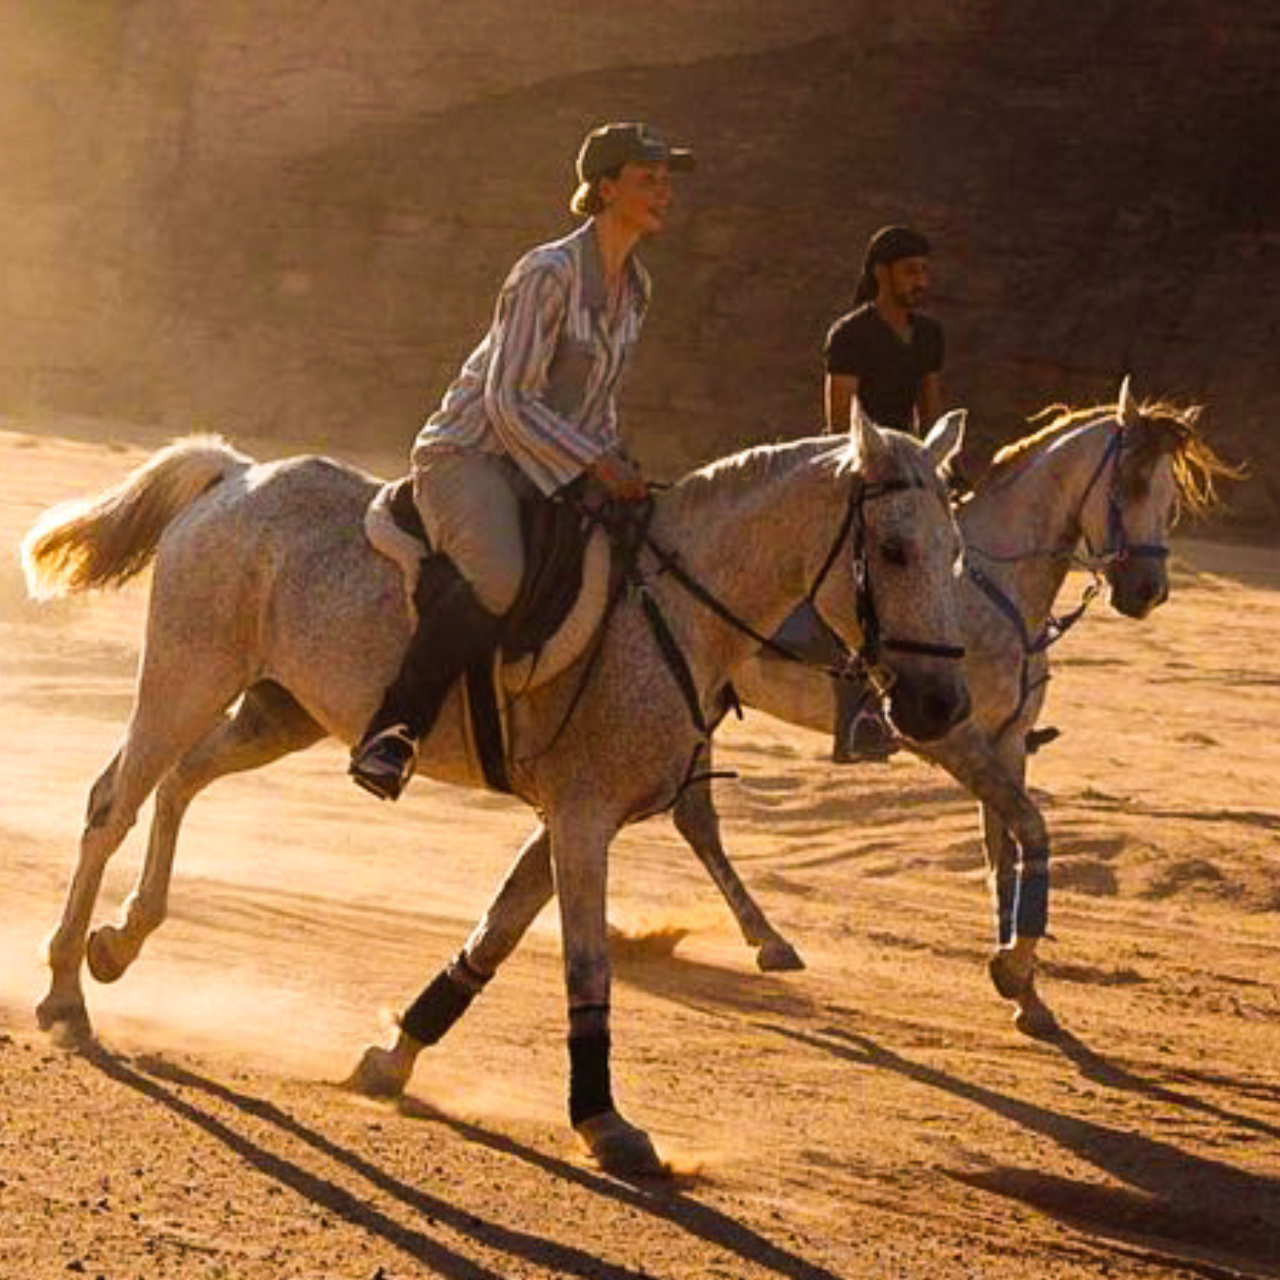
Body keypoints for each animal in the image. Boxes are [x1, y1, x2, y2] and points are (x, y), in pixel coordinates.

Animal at [23, 407, 971, 1175]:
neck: (674, 608)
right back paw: (66, 987)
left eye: (955, 550)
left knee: (180, 782)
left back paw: (121, 942)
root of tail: (234, 475)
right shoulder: (585, 820)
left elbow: (494, 936)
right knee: (113, 803)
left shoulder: (569, 818)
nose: (941, 705)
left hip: (278, 710)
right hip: (186, 676)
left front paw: (393, 1056)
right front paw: (605, 1123)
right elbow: (583, 963)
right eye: (894, 550)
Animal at [668, 379, 1235, 1036]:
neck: (992, 589)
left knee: (692, 816)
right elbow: (1032, 829)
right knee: (693, 816)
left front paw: (1026, 990)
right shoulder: (952, 737)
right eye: (1133, 484)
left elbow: (1005, 850)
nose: (1149, 592)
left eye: (1170, 495)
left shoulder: (1008, 743)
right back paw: (765, 938)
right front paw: (1013, 968)